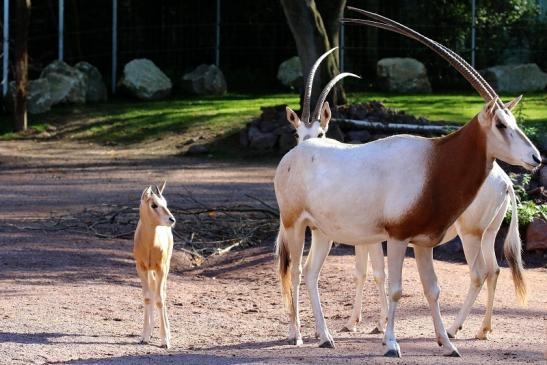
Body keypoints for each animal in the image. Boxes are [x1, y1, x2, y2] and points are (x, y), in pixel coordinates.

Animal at [133, 182, 176, 346]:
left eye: (165, 203)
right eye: (154, 205)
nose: (171, 219)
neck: (150, 245)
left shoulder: (161, 268)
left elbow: (159, 298)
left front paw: (165, 340)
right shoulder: (141, 267)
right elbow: (147, 297)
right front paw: (145, 336)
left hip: (166, 266)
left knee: (162, 293)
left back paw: (168, 333)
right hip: (150, 271)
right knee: (152, 291)